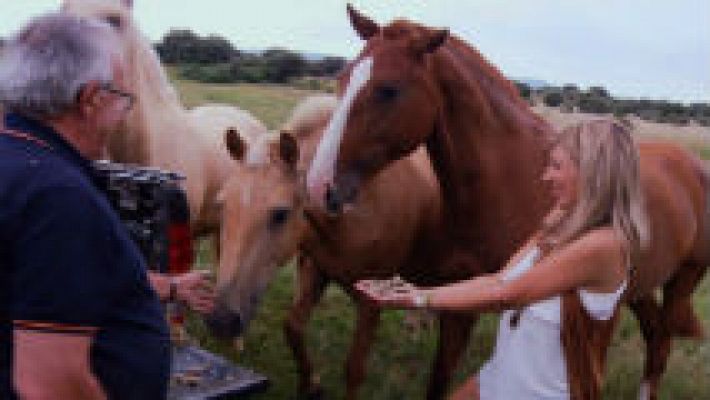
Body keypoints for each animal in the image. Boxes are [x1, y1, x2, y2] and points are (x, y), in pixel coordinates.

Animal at [211, 95, 444, 398]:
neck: (357, 208)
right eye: (221, 204)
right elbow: (293, 328)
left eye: (280, 214)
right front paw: (310, 386)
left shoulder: (370, 302)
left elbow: (355, 369)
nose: (221, 320)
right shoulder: (316, 271)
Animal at [308, 6, 710, 400]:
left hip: (684, 279)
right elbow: (438, 380)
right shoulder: (457, 299)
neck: (508, 180)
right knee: (653, 334)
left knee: (660, 346)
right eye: (342, 78)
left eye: (388, 90)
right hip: (639, 289)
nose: (317, 187)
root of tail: (693, 164)